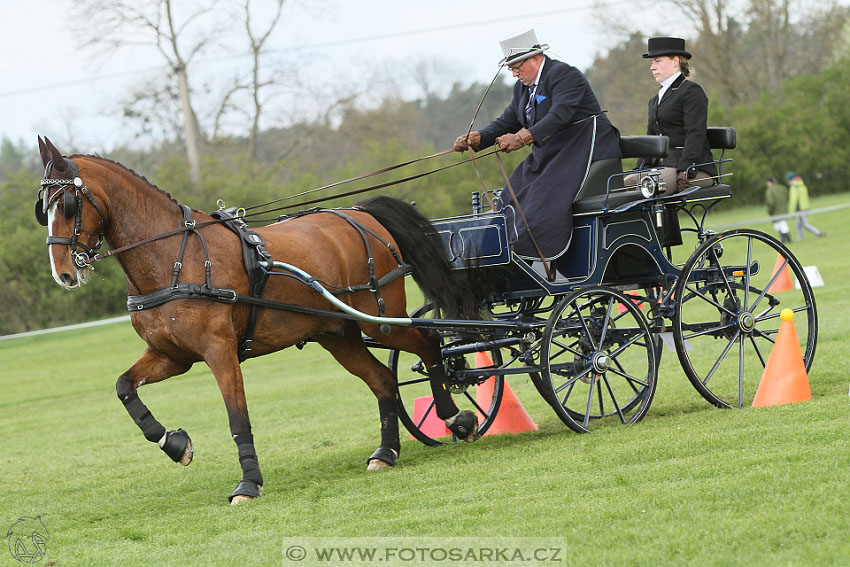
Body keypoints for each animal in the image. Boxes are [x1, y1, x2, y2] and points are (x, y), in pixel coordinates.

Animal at [33, 136, 480, 506]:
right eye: (44, 209)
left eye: (67, 204)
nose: (63, 273)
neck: (175, 257)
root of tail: (358, 213)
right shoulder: (171, 356)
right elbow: (124, 387)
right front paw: (175, 444)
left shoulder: (219, 352)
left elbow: (237, 418)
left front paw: (248, 484)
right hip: (339, 334)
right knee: (383, 380)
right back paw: (386, 453)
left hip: (380, 318)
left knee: (428, 344)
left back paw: (455, 418)